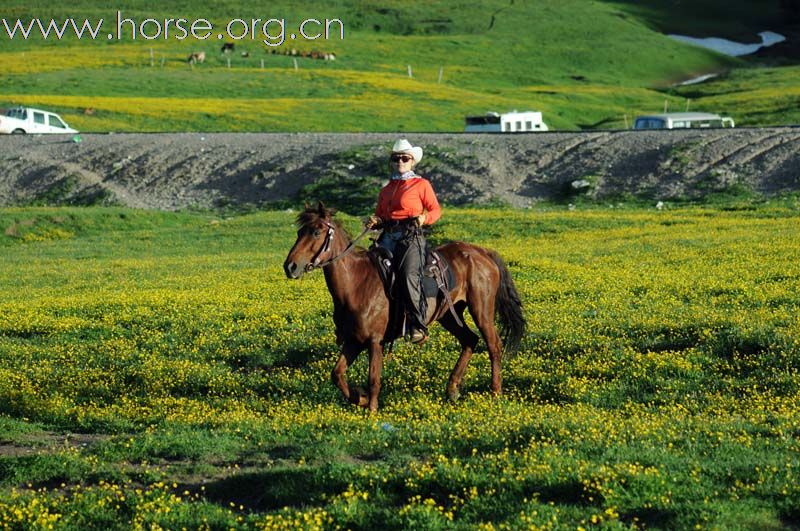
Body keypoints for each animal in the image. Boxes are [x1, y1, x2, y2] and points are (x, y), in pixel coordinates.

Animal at [282, 204, 524, 412]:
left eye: (316, 232)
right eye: (299, 232)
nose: (290, 266)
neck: (357, 283)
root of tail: (482, 252)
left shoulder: (375, 341)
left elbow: (373, 378)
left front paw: (371, 410)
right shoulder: (353, 340)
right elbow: (337, 374)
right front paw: (360, 399)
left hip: (481, 310)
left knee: (494, 345)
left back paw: (495, 392)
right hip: (449, 314)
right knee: (470, 340)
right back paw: (453, 389)